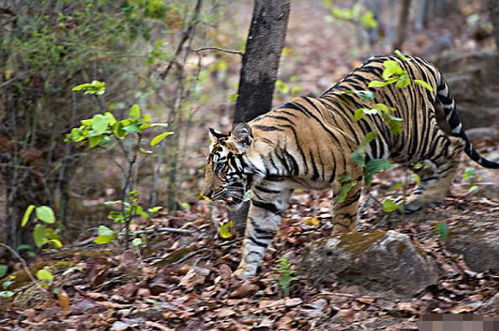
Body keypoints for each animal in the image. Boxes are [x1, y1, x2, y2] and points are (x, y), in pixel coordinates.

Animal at [201, 53, 498, 280]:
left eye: (220, 167)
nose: (206, 194)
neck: (272, 166)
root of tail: (417, 59)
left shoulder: (348, 173)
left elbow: (343, 214)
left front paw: (338, 246)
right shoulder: (267, 197)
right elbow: (256, 233)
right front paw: (243, 272)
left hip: (415, 135)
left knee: (453, 145)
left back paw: (433, 195)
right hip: (401, 149)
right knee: (428, 167)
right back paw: (415, 199)